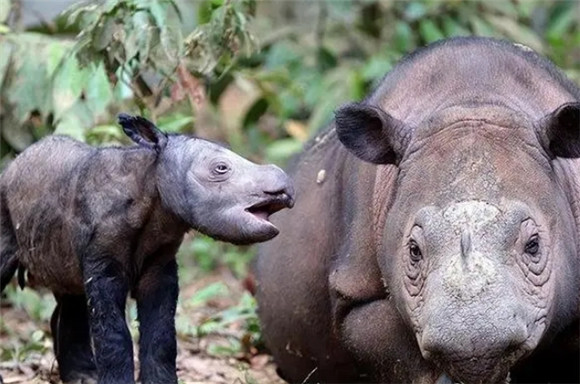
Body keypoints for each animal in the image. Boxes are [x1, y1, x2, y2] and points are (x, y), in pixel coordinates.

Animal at [0, 115, 292, 384]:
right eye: (220, 168)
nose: (285, 188)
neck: (151, 188)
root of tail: (12, 164)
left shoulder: (160, 266)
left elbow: (162, 334)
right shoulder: (103, 264)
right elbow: (113, 335)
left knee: (70, 295)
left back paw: (84, 378)